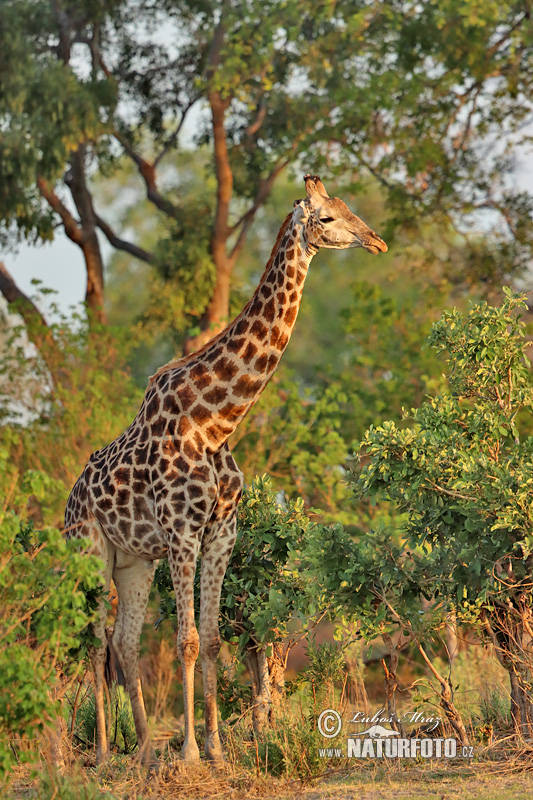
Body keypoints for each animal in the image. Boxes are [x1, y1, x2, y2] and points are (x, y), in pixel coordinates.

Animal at [64, 173, 386, 764]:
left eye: (349, 206)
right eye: (328, 217)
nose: (375, 240)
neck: (214, 422)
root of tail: (71, 499)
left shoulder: (221, 532)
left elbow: (213, 639)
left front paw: (215, 748)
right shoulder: (182, 532)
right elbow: (187, 640)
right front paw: (191, 751)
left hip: (133, 562)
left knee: (123, 642)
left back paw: (143, 752)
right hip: (90, 552)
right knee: (96, 644)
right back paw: (101, 753)